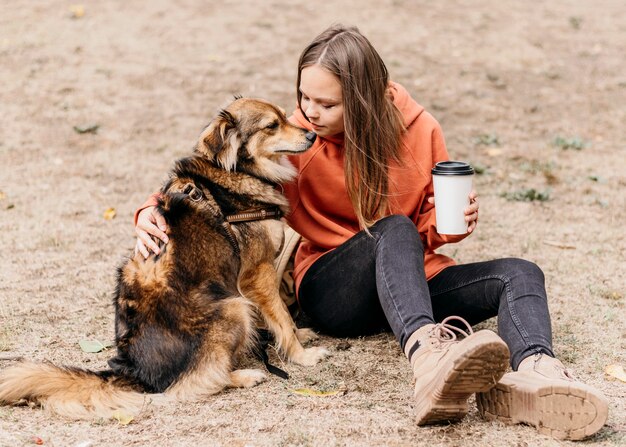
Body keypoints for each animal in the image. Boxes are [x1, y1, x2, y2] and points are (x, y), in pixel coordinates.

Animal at [0, 97, 330, 420]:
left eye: (286, 116)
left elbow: (281, 318)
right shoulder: (257, 274)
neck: (234, 174)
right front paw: (302, 355)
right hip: (233, 308)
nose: (312, 135)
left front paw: (300, 335)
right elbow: (282, 318)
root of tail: (135, 372)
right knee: (198, 382)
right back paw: (245, 375)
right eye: (272, 126)